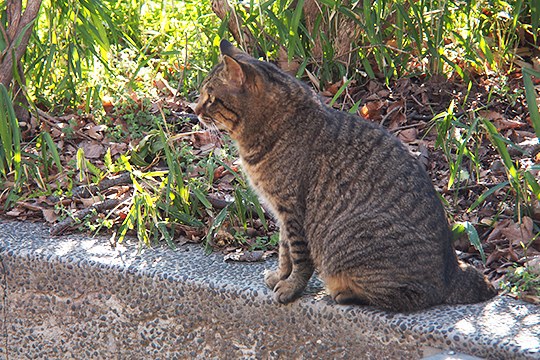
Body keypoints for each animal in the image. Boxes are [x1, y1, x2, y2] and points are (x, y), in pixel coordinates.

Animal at [195, 38, 498, 310]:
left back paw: (346, 293)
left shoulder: (293, 210)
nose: (194, 110)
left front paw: (291, 287)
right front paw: (280, 276)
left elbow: (298, 256)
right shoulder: (282, 211)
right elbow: (283, 251)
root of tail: (452, 272)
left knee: (411, 297)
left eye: (211, 98)